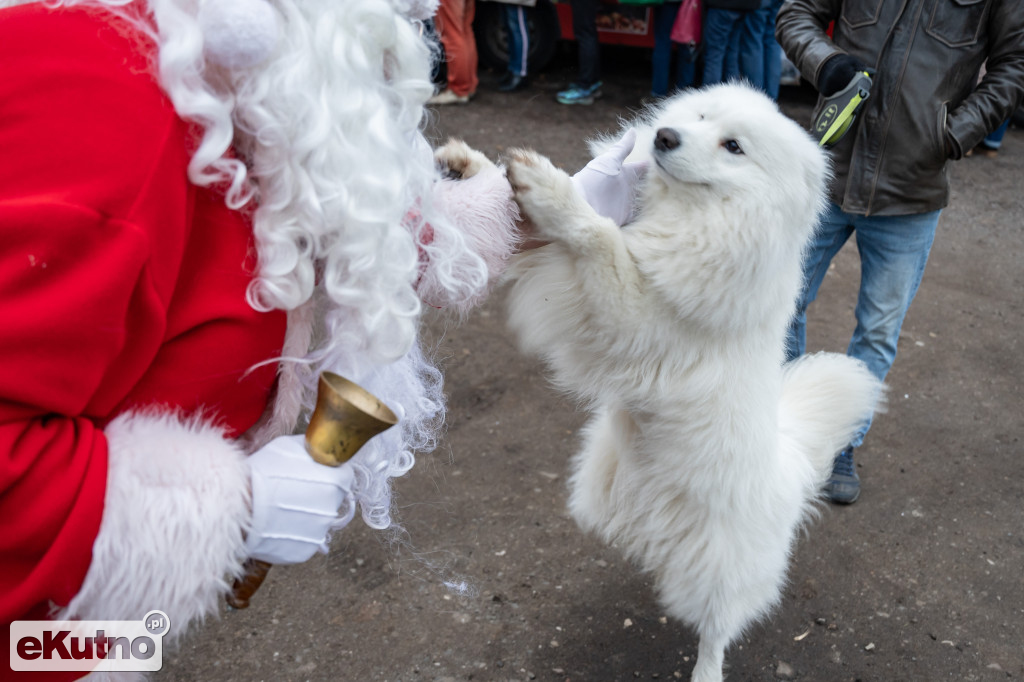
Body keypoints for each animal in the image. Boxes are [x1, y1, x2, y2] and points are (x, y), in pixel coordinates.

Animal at [499, 83, 884, 679]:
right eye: (702, 116)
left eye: (733, 146)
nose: (663, 136)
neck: (695, 217)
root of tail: (792, 460)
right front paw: (467, 167)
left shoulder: (635, 312)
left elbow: (597, 234)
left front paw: (549, 190)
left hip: (721, 571)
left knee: (717, 628)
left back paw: (707, 671)